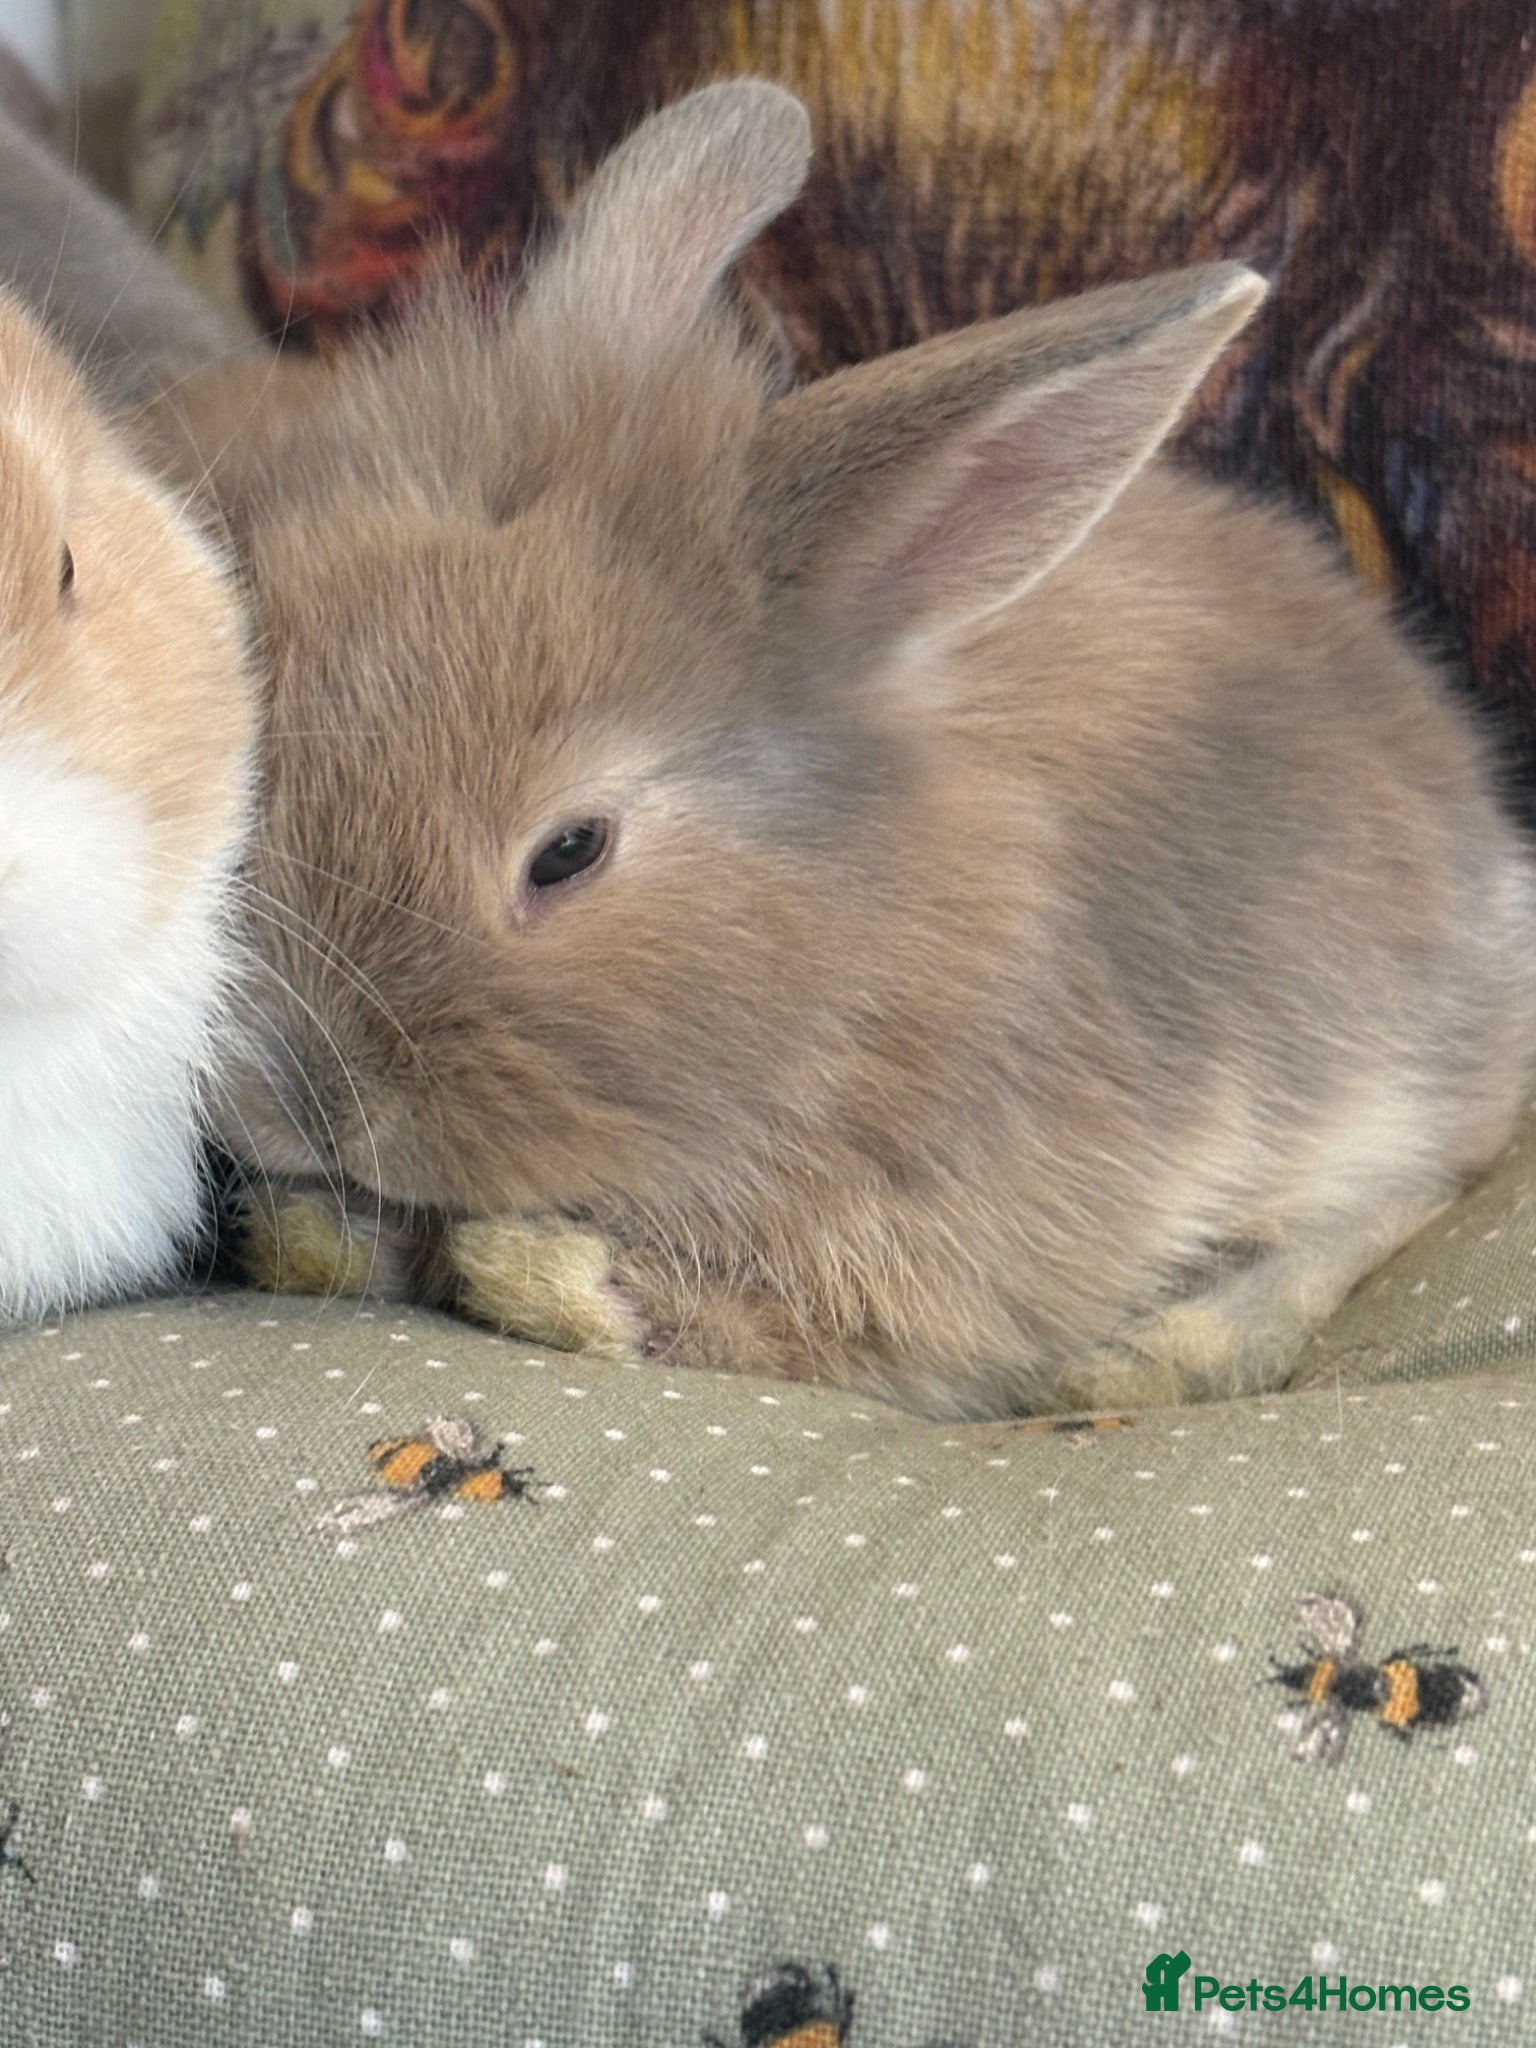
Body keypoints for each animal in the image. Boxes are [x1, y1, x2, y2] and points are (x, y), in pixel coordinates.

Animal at [156, 81, 1536, 1419]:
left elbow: (812, 1337)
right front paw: (323, 1232)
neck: (853, 948)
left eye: (569, 851)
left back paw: (1156, 1358)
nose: (297, 1098)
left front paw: (545, 1275)